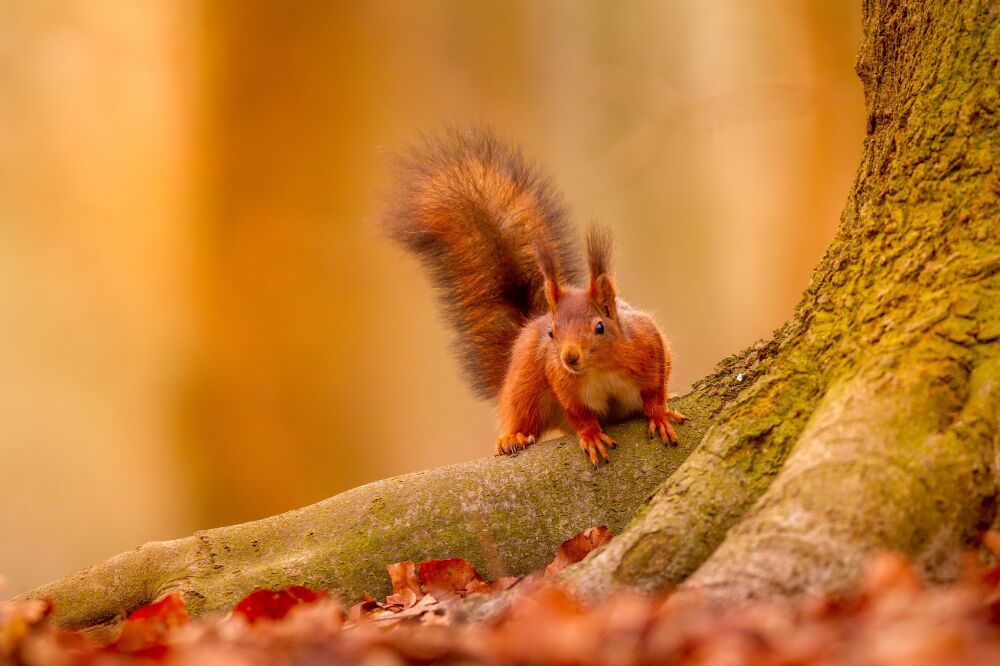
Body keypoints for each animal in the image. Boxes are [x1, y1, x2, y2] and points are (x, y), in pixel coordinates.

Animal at [384, 127, 688, 464]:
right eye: (552, 333)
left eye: (600, 327)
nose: (570, 357)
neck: (600, 368)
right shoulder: (560, 380)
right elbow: (579, 413)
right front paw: (591, 435)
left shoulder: (650, 346)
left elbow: (655, 389)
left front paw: (659, 413)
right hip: (524, 382)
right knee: (523, 412)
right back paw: (513, 436)